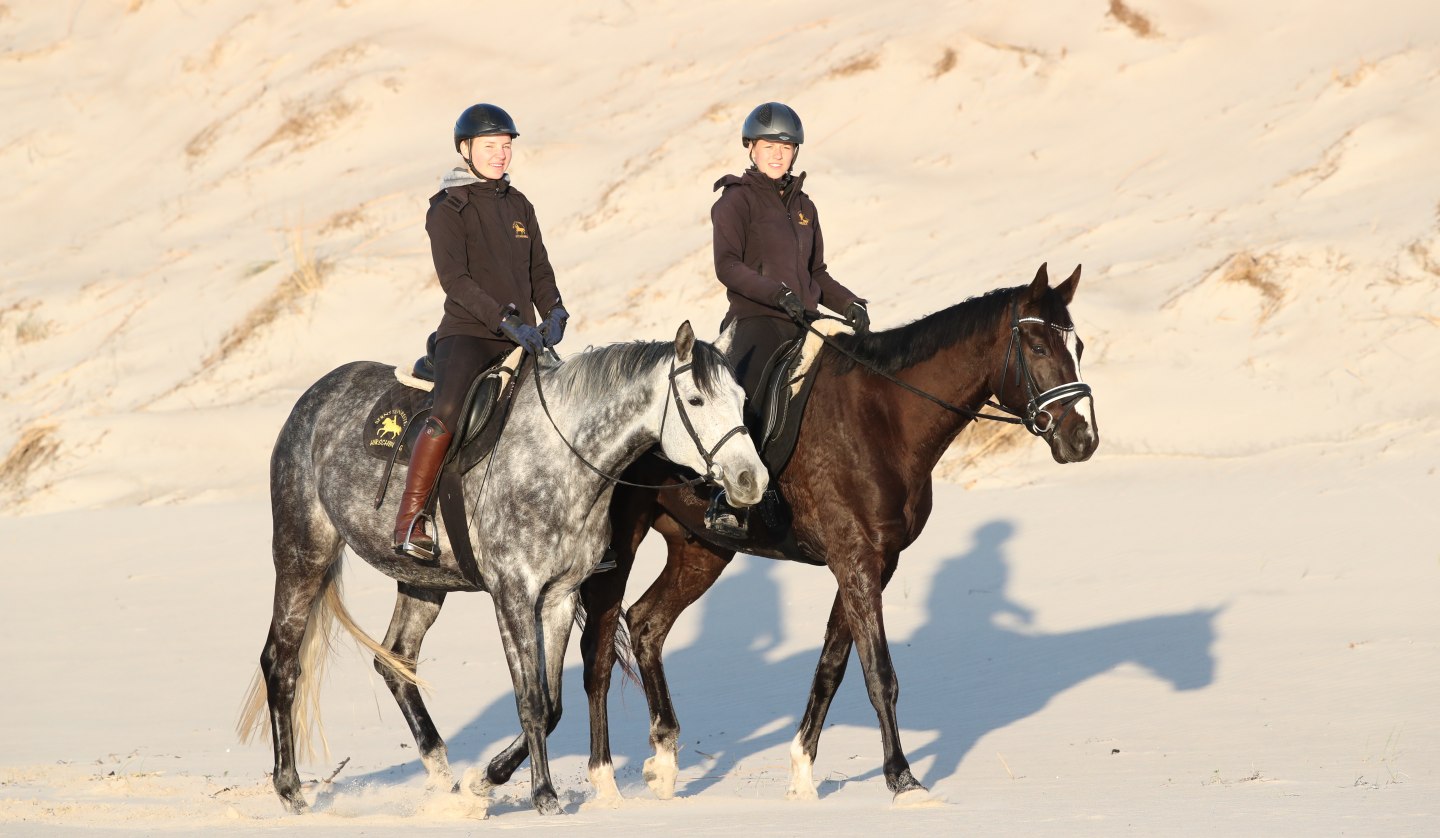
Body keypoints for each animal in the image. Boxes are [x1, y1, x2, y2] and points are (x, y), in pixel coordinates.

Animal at [239, 322, 766, 812]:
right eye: (696, 399)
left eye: (742, 399)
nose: (751, 480)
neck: (558, 458)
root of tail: (315, 396)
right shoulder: (513, 593)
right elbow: (531, 700)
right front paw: (545, 796)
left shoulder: (558, 596)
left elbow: (551, 704)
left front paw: (486, 780)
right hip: (303, 554)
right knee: (281, 661)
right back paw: (290, 790)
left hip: (423, 582)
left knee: (395, 660)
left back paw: (443, 779)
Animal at [478, 264, 1094, 806]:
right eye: (1038, 348)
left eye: (1079, 346)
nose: (1082, 439)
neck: (884, 418)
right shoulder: (856, 560)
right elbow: (879, 673)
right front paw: (903, 780)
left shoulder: (873, 562)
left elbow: (832, 667)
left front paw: (801, 774)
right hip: (620, 548)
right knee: (600, 654)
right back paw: (579, 776)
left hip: (702, 548)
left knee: (648, 623)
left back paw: (662, 760)